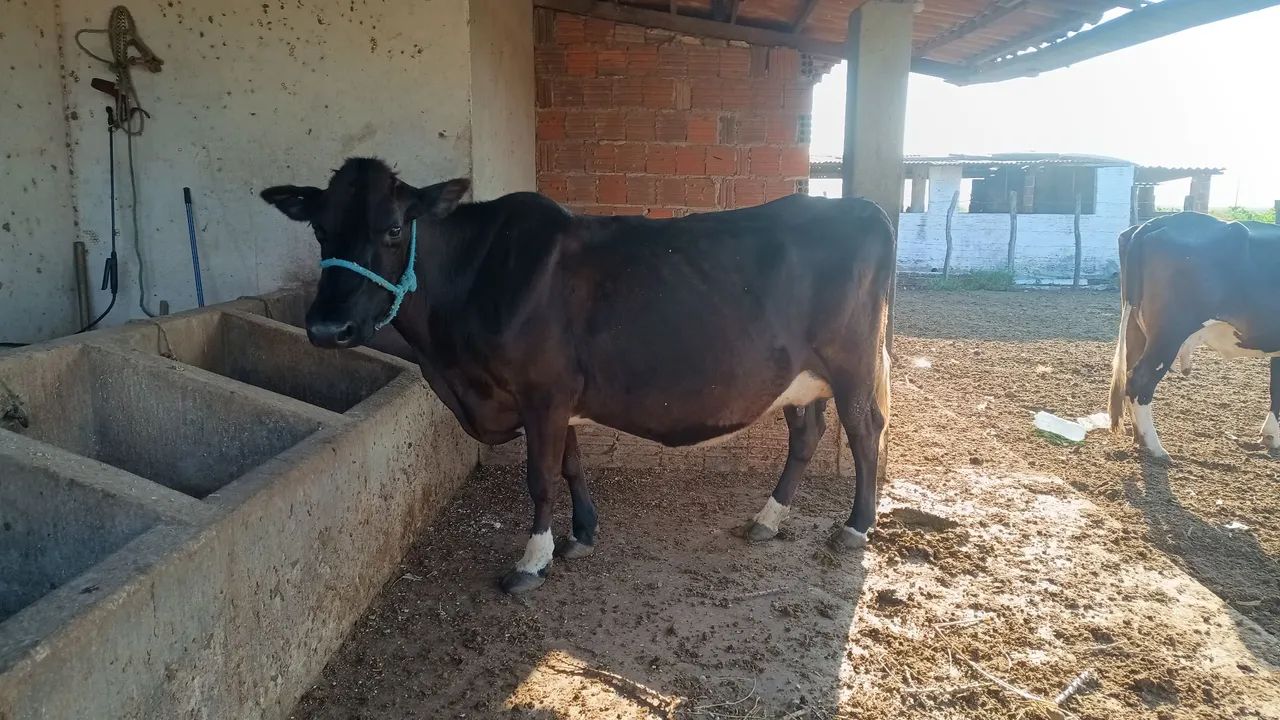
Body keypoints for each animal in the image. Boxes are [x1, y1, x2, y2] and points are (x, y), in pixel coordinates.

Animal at [261, 158, 893, 593]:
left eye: (393, 228)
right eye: (319, 229)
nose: (327, 327)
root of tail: (862, 206)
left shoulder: (541, 391)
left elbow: (539, 476)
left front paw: (531, 561)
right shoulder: (557, 394)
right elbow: (570, 463)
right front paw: (581, 534)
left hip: (852, 364)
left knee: (864, 432)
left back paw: (855, 526)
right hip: (801, 376)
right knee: (807, 435)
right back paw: (769, 518)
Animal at [1109, 211, 1280, 459]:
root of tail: (1155, 223)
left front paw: (1271, 436)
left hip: (1136, 328)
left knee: (1128, 375)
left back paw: (1139, 438)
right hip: (1169, 333)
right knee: (1139, 381)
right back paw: (1155, 447)